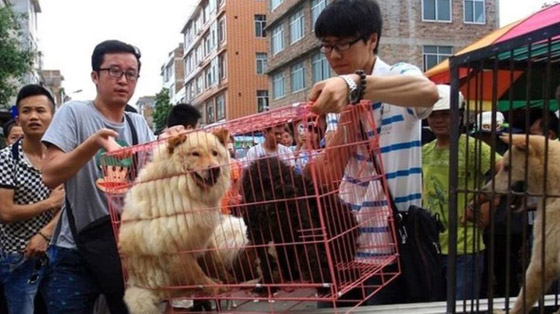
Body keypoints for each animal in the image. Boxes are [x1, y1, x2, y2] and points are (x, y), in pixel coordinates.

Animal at [118, 129, 232, 314]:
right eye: (195, 154)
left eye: (215, 153)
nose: (214, 169)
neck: (184, 188)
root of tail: (134, 283)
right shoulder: (177, 249)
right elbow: (197, 275)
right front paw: (215, 288)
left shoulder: (203, 237)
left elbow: (217, 263)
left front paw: (230, 279)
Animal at [241, 157, 358, 294]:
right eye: (265, 184)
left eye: (286, 178)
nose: (290, 192)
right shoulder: (259, 236)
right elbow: (266, 261)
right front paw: (268, 284)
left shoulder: (304, 228)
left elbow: (313, 255)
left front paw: (325, 281)